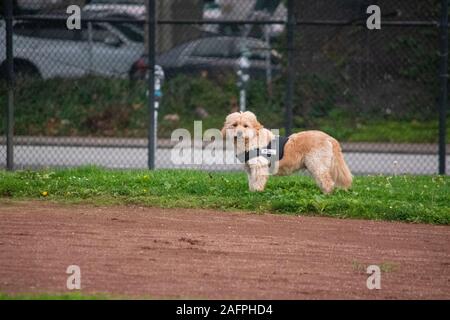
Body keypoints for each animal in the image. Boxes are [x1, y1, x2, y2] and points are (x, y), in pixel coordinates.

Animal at [223, 111, 354, 194]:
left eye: (245, 126)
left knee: (328, 182)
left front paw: (256, 192)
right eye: (234, 125)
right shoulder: (250, 168)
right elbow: (251, 182)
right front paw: (251, 192)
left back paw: (326, 195)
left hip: (317, 165)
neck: (251, 139)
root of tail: (328, 137)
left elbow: (257, 182)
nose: (239, 133)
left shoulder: (260, 167)